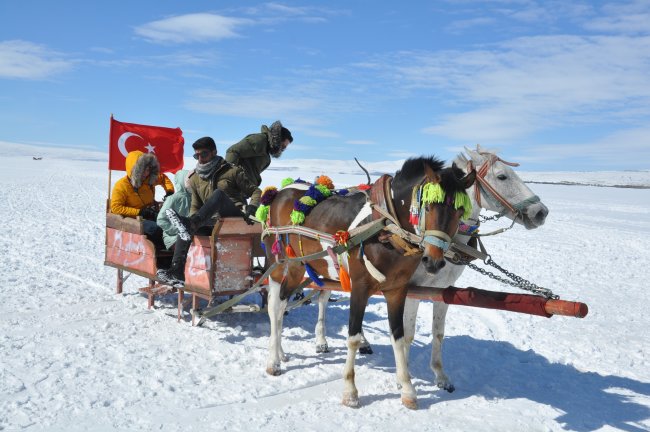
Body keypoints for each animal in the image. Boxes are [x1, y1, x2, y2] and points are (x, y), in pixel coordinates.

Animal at [260, 156, 474, 408]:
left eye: (460, 211)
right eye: (428, 206)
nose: (433, 261)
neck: (386, 229)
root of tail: (280, 192)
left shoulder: (397, 290)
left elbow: (398, 335)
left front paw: (407, 389)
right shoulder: (360, 288)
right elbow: (353, 337)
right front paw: (350, 392)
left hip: (303, 266)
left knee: (283, 304)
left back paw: (281, 352)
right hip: (284, 264)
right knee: (276, 306)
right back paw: (273, 361)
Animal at [400, 145, 548, 392]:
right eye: (502, 176)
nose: (541, 211)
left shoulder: (443, 289)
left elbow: (438, 333)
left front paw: (441, 376)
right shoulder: (411, 289)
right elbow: (407, 334)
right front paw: (404, 376)